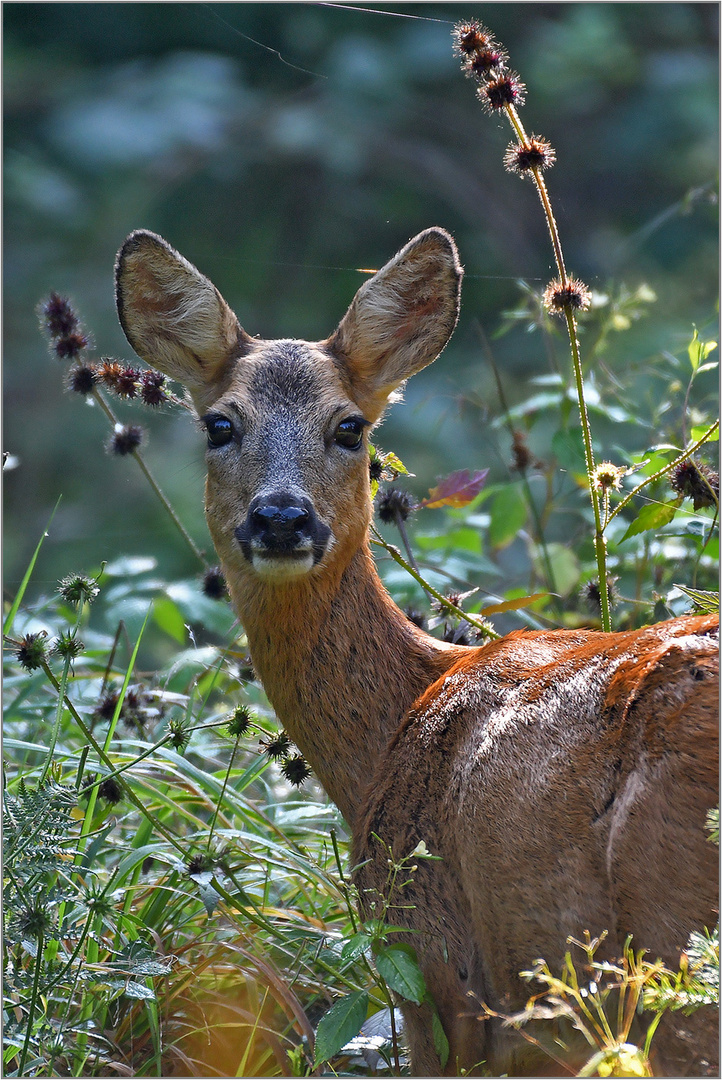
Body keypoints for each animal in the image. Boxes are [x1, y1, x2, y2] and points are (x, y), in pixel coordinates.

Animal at [115, 225, 716, 1071]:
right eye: (219, 424)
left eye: (350, 427)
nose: (281, 518)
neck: (397, 721)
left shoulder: (434, 965)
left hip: (673, 938)